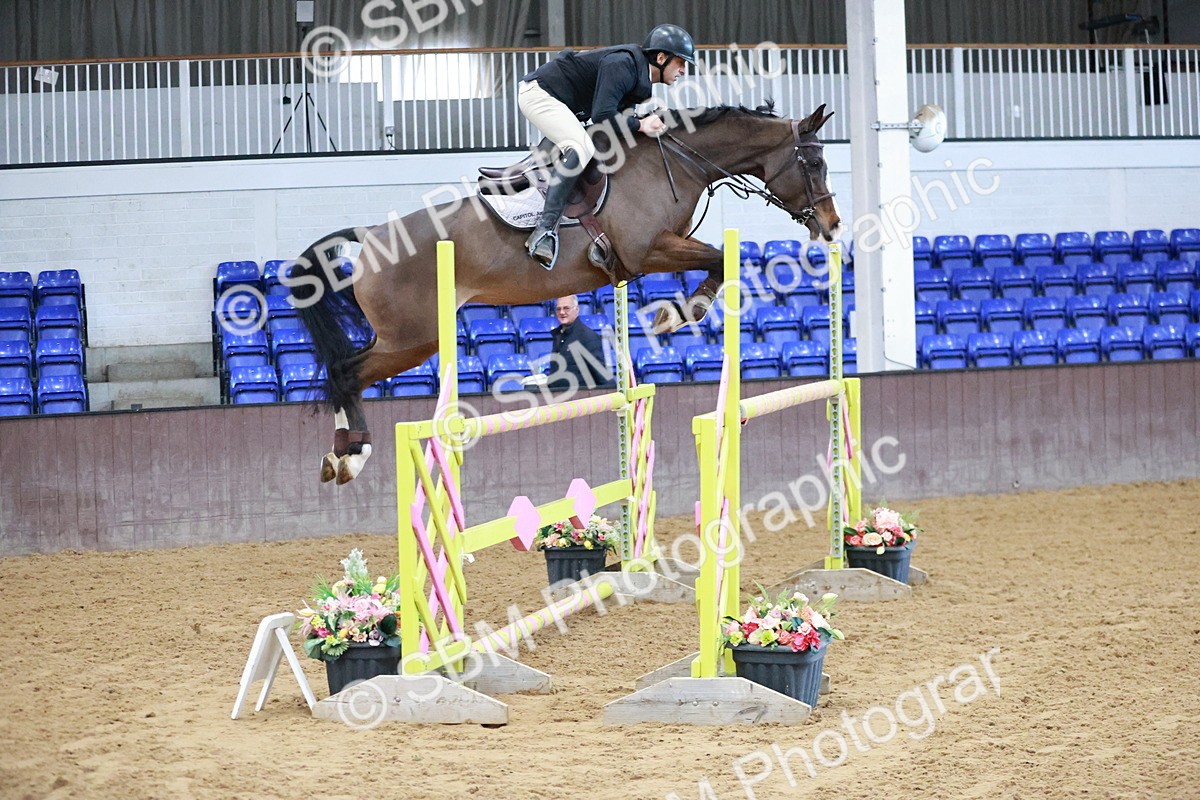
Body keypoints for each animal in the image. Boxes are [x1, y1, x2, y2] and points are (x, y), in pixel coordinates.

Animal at [289, 102, 840, 484]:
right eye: (813, 164)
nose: (832, 227)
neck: (677, 163)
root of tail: (371, 235)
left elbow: (722, 260)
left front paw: (684, 310)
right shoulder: (648, 251)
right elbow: (725, 258)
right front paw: (682, 312)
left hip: (402, 336)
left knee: (343, 372)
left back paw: (339, 453)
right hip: (414, 338)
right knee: (346, 372)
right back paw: (353, 455)